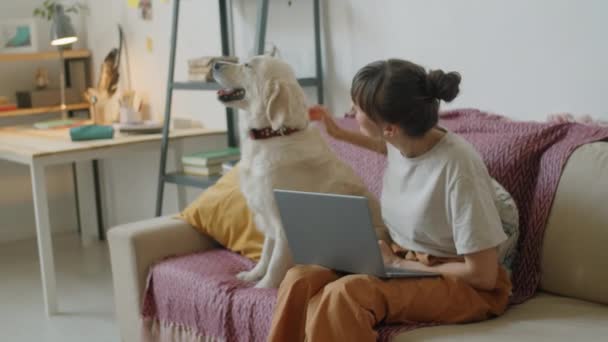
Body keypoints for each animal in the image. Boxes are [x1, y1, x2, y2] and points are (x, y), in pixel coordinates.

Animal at [211, 56, 388, 288]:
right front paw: (253, 274)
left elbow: (275, 262)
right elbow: (266, 254)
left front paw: (263, 287)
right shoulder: (268, 218)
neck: (274, 135)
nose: (214, 64)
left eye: (247, 65)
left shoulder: (282, 222)